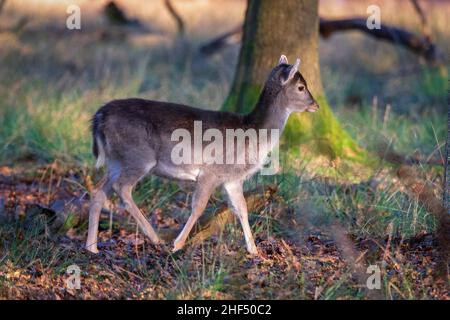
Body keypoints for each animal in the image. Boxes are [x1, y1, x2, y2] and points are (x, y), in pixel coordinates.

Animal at [86, 55, 318, 255]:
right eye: (301, 87)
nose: (315, 105)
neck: (252, 133)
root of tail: (99, 116)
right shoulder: (211, 171)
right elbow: (198, 207)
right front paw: (178, 244)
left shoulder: (231, 178)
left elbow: (241, 208)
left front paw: (254, 251)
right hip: (138, 156)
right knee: (123, 188)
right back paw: (154, 238)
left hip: (116, 160)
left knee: (99, 191)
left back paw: (92, 247)